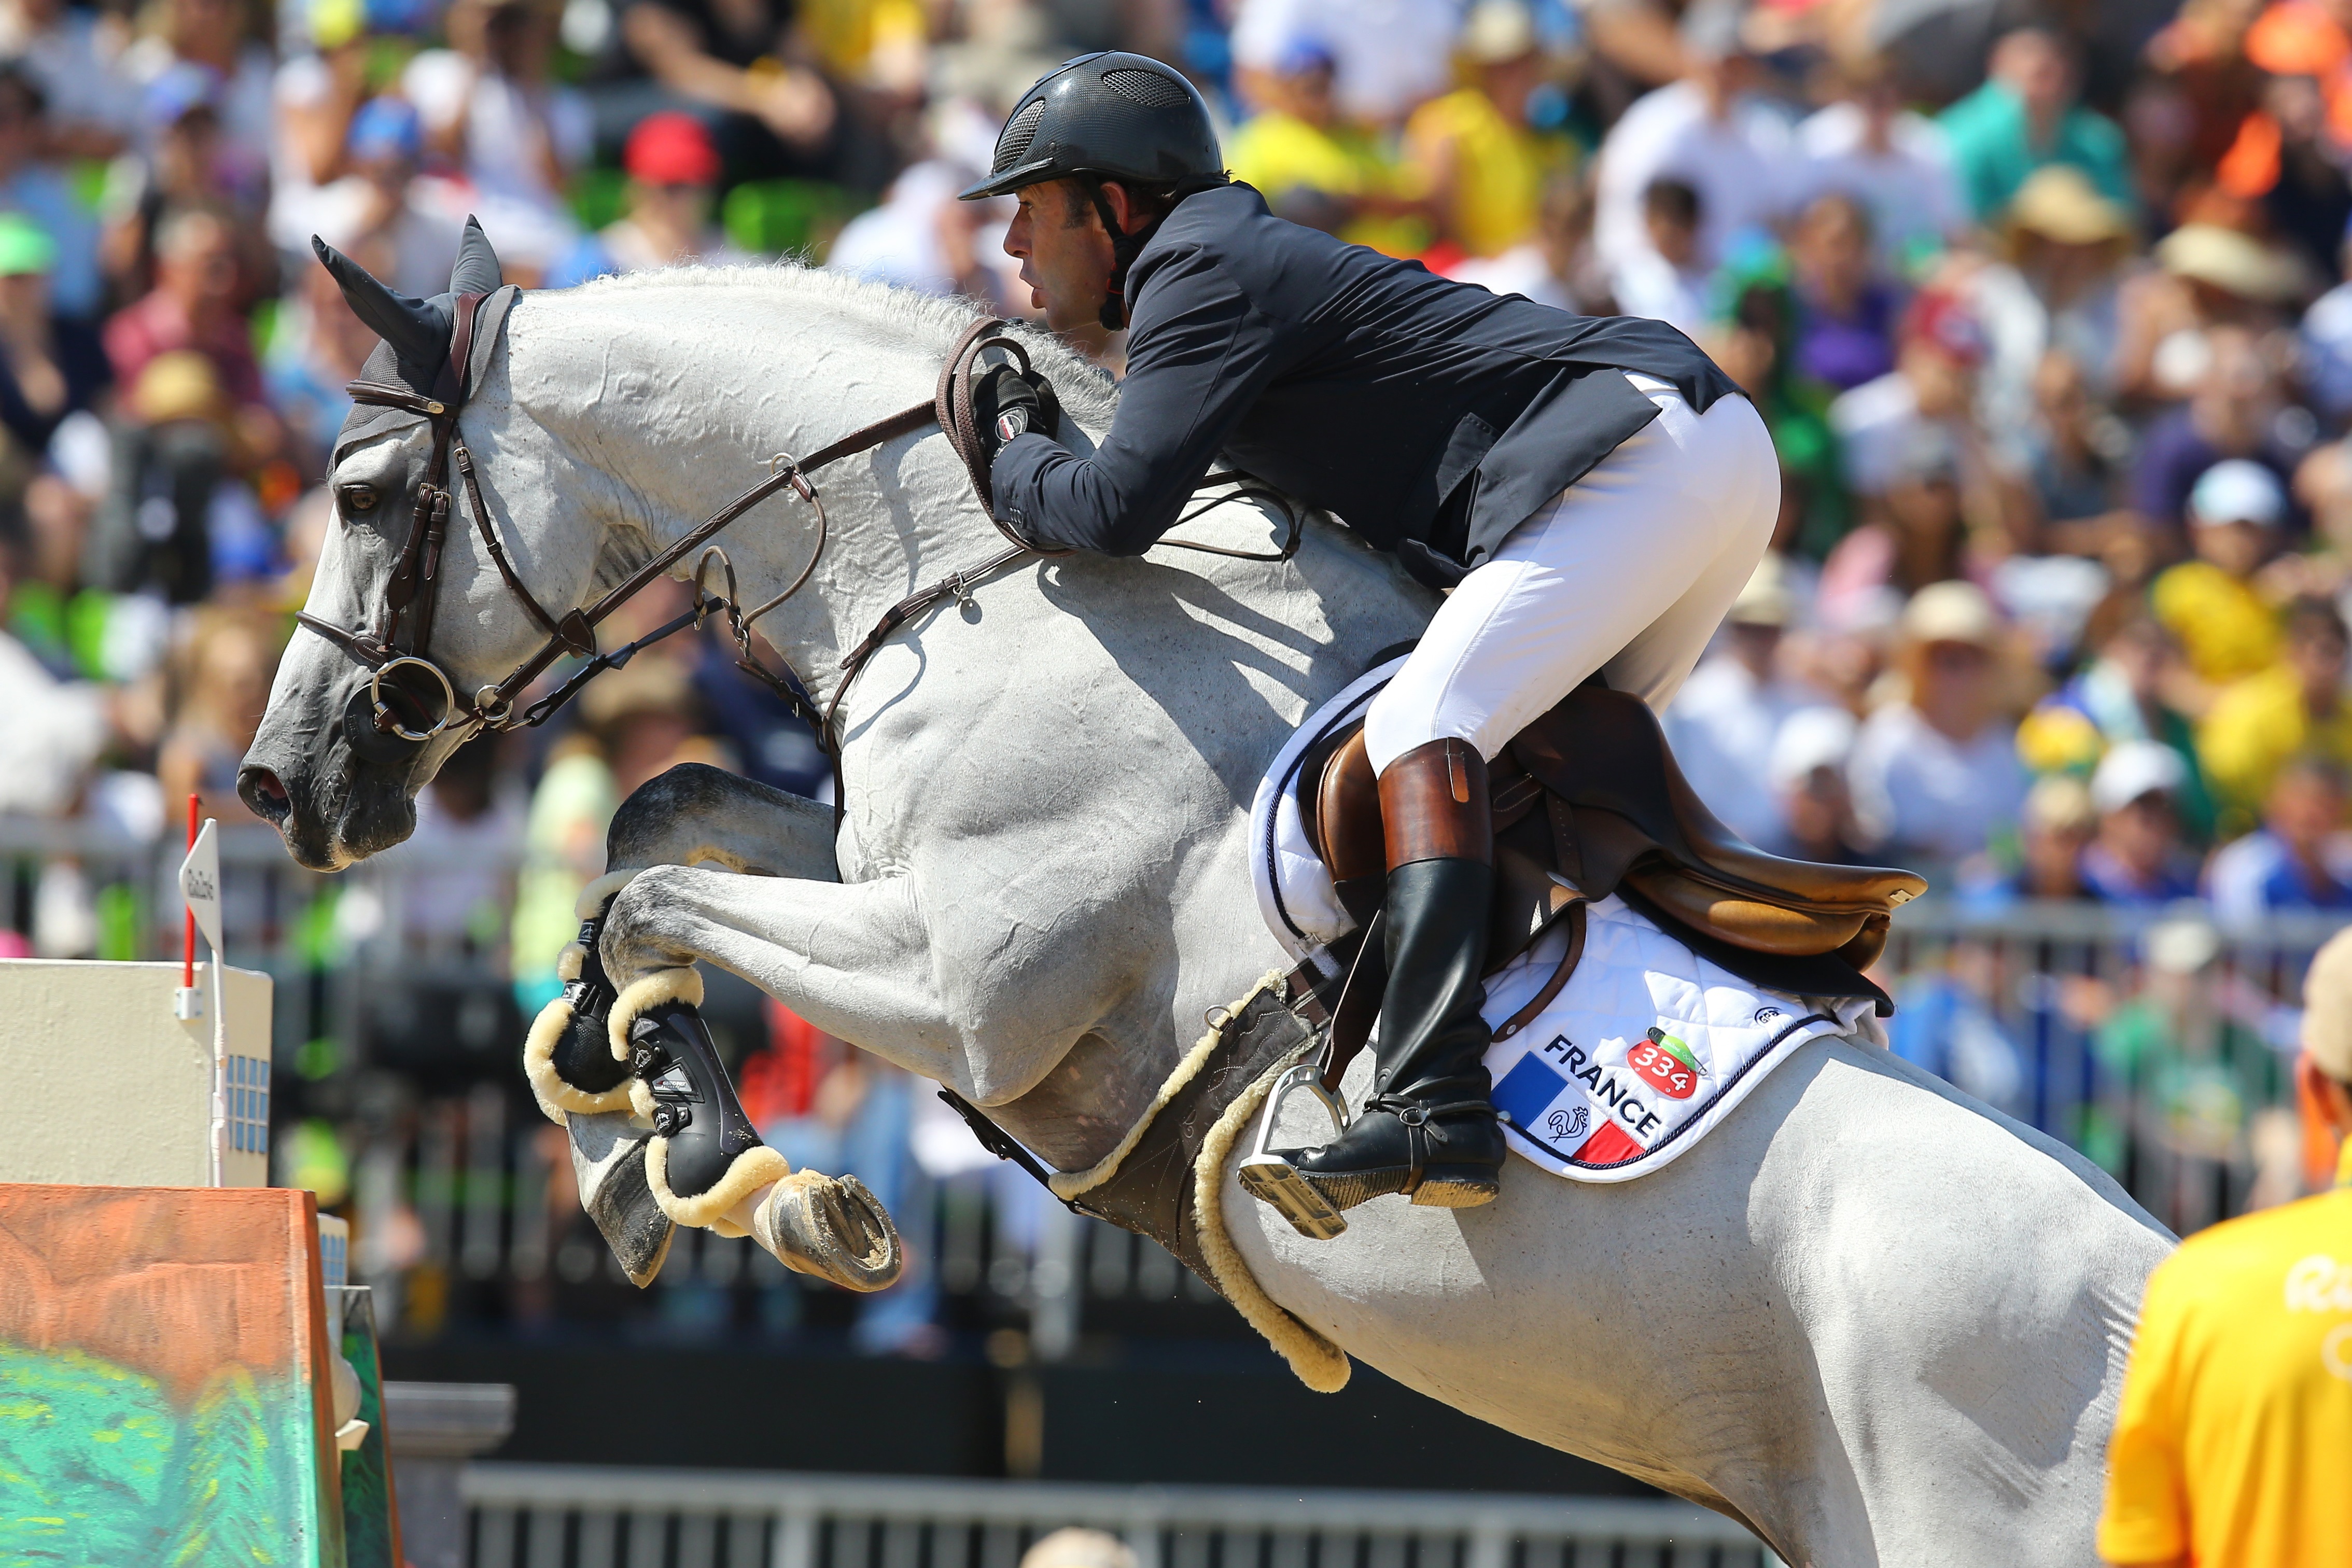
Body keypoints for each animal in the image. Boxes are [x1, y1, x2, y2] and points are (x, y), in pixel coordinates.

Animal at [239, 263, 2164, 1561]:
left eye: (358, 496)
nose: (278, 784)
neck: (990, 564)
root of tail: (2162, 1295)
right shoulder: (873, 879)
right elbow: (657, 827)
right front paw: (648, 1142)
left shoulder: (966, 989)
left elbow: (652, 896)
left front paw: (710, 1163)